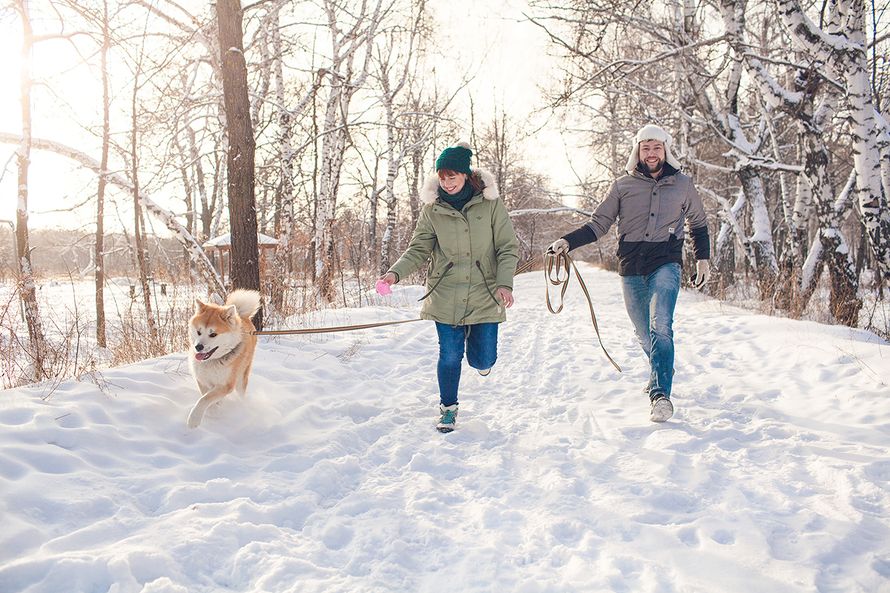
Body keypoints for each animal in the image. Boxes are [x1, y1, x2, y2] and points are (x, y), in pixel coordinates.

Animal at [185, 290, 260, 428]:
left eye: (213, 334)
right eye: (199, 332)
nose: (198, 347)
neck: (212, 361)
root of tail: (241, 316)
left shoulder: (226, 385)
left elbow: (204, 399)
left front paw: (194, 419)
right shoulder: (202, 380)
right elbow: (206, 397)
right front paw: (214, 410)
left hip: (241, 378)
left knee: (241, 393)